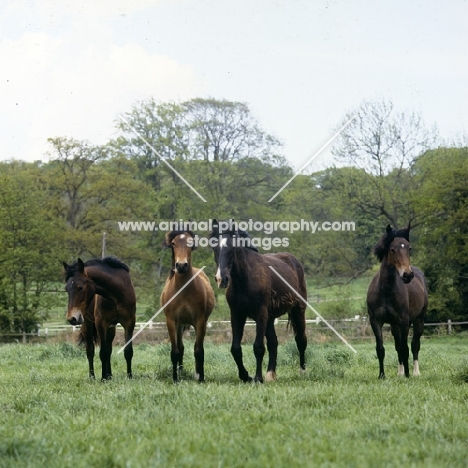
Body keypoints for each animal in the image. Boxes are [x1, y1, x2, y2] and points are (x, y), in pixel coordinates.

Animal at [159, 230, 214, 384]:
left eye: (190, 242)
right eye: (173, 243)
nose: (181, 266)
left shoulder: (200, 321)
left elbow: (199, 351)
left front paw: (201, 378)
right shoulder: (171, 322)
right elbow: (175, 351)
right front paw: (175, 379)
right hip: (180, 325)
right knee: (181, 348)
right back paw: (180, 371)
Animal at [209, 221, 306, 382]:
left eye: (233, 247)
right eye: (214, 246)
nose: (221, 279)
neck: (244, 280)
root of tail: (294, 261)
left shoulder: (260, 314)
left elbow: (258, 347)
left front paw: (257, 378)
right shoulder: (237, 315)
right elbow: (235, 348)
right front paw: (245, 376)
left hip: (298, 309)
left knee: (301, 339)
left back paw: (302, 371)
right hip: (270, 318)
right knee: (273, 343)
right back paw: (271, 374)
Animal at [368, 224, 430, 380]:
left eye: (409, 248)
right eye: (392, 249)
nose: (407, 275)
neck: (386, 290)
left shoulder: (403, 321)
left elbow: (405, 348)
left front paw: (408, 375)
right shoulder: (375, 321)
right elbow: (381, 348)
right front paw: (382, 375)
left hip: (418, 320)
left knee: (414, 345)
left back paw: (415, 372)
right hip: (394, 325)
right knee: (397, 345)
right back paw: (400, 372)